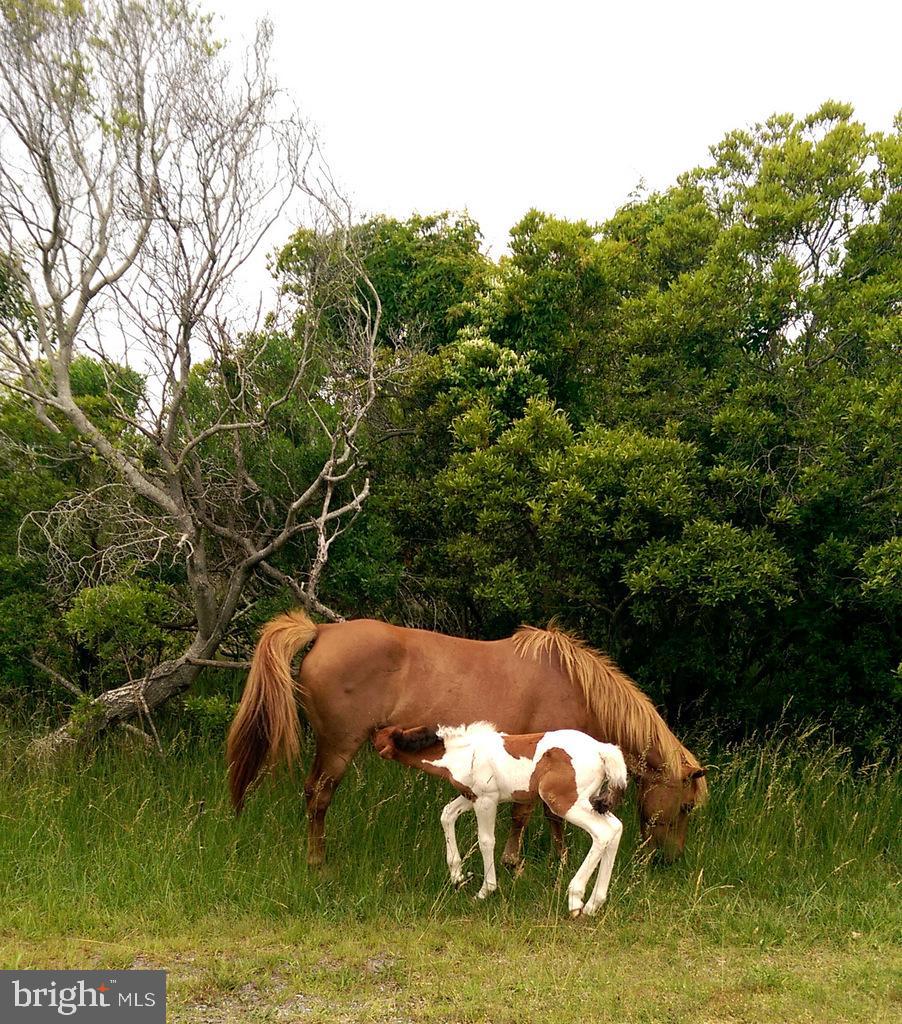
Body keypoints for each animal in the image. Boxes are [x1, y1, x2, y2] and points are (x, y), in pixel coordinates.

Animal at [227, 609, 707, 866]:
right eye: (685, 806)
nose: (670, 858)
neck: (573, 684)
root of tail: (323, 631)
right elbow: (533, 814)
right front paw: (524, 863)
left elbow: (538, 814)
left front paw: (546, 860)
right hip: (337, 747)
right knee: (318, 797)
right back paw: (318, 864)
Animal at [373, 722, 628, 917]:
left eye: (379, 738)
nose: (369, 739)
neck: (465, 753)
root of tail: (602, 751)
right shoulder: (471, 796)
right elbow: (447, 815)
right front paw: (458, 877)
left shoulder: (487, 799)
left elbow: (486, 841)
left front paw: (485, 891)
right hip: (591, 801)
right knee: (616, 828)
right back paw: (594, 904)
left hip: (565, 803)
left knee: (602, 833)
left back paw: (576, 900)